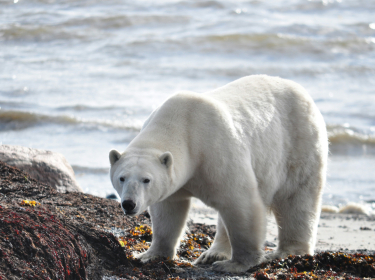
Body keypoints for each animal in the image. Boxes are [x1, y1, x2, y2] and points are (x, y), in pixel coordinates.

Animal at [109, 75, 328, 272]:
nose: (129, 204)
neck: (182, 126)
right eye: (122, 178)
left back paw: (289, 252)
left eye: (146, 179)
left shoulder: (215, 151)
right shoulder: (176, 180)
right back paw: (213, 253)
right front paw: (149, 255)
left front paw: (236, 264)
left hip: (299, 143)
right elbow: (169, 211)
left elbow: (240, 202)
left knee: (296, 199)